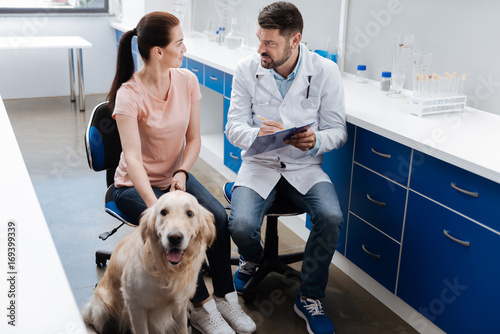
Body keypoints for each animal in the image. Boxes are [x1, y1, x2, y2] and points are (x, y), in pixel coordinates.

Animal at [82, 190, 215, 334]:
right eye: (163, 212)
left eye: (190, 213)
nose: (174, 238)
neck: (167, 270)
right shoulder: (135, 305)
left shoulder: (180, 304)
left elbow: (182, 328)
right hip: (102, 308)